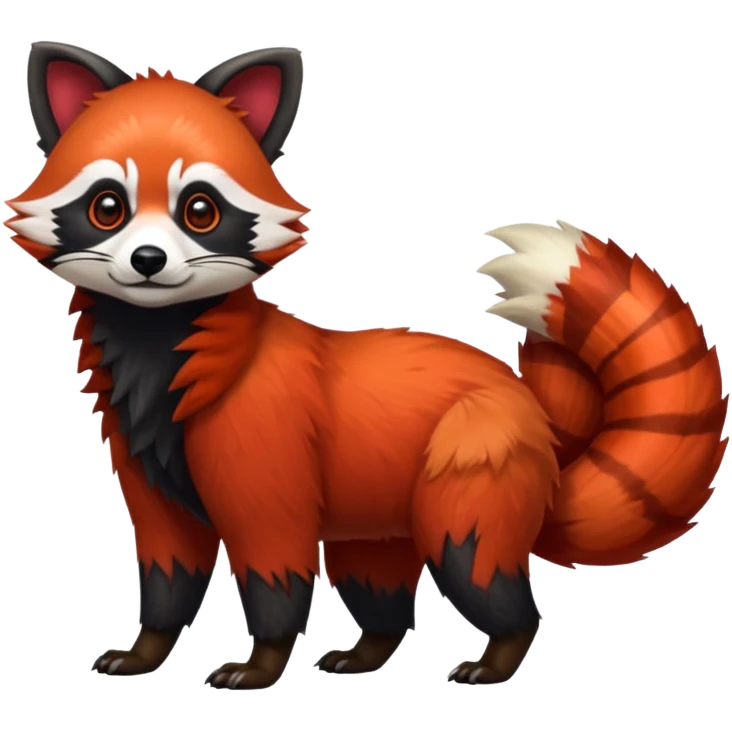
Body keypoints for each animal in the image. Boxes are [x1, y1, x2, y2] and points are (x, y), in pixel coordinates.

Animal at [5, 42, 728, 690]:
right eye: (107, 206)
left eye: (200, 210)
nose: (149, 261)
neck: (158, 358)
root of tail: (534, 411)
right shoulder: (149, 478)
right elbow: (168, 575)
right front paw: (145, 651)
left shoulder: (266, 469)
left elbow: (274, 574)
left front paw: (261, 666)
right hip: (374, 518)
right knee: (378, 589)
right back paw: (366, 654)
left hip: (469, 472)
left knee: (483, 570)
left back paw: (496, 659)